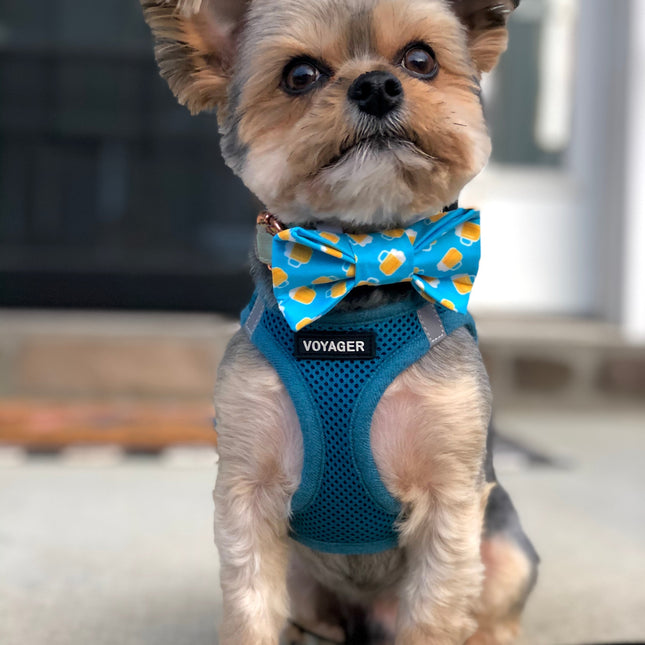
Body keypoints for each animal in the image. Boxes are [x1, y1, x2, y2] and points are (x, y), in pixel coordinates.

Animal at [142, 2, 540, 640]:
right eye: (299, 75)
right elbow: (250, 604)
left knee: (494, 612)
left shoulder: (451, 496)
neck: (362, 269)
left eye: (421, 60)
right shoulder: (247, 489)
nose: (376, 85)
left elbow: (436, 612)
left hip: (504, 547)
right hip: (306, 579)